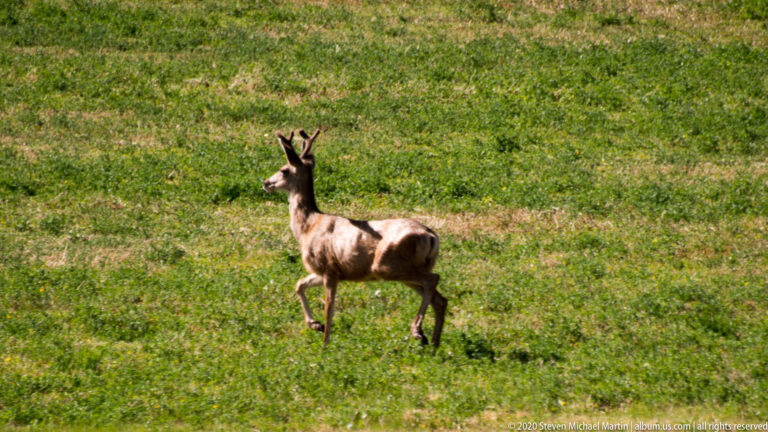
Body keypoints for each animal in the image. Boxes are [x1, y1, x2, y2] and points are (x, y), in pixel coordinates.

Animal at [262, 129, 447, 347]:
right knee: (439, 299)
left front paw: (325, 344)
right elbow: (299, 285)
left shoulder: (329, 269)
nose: (266, 183)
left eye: (283, 169)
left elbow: (329, 309)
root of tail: (431, 236)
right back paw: (433, 343)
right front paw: (315, 325)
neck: (308, 226)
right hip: (412, 270)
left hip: (388, 265)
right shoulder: (326, 271)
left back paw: (418, 330)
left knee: (433, 280)